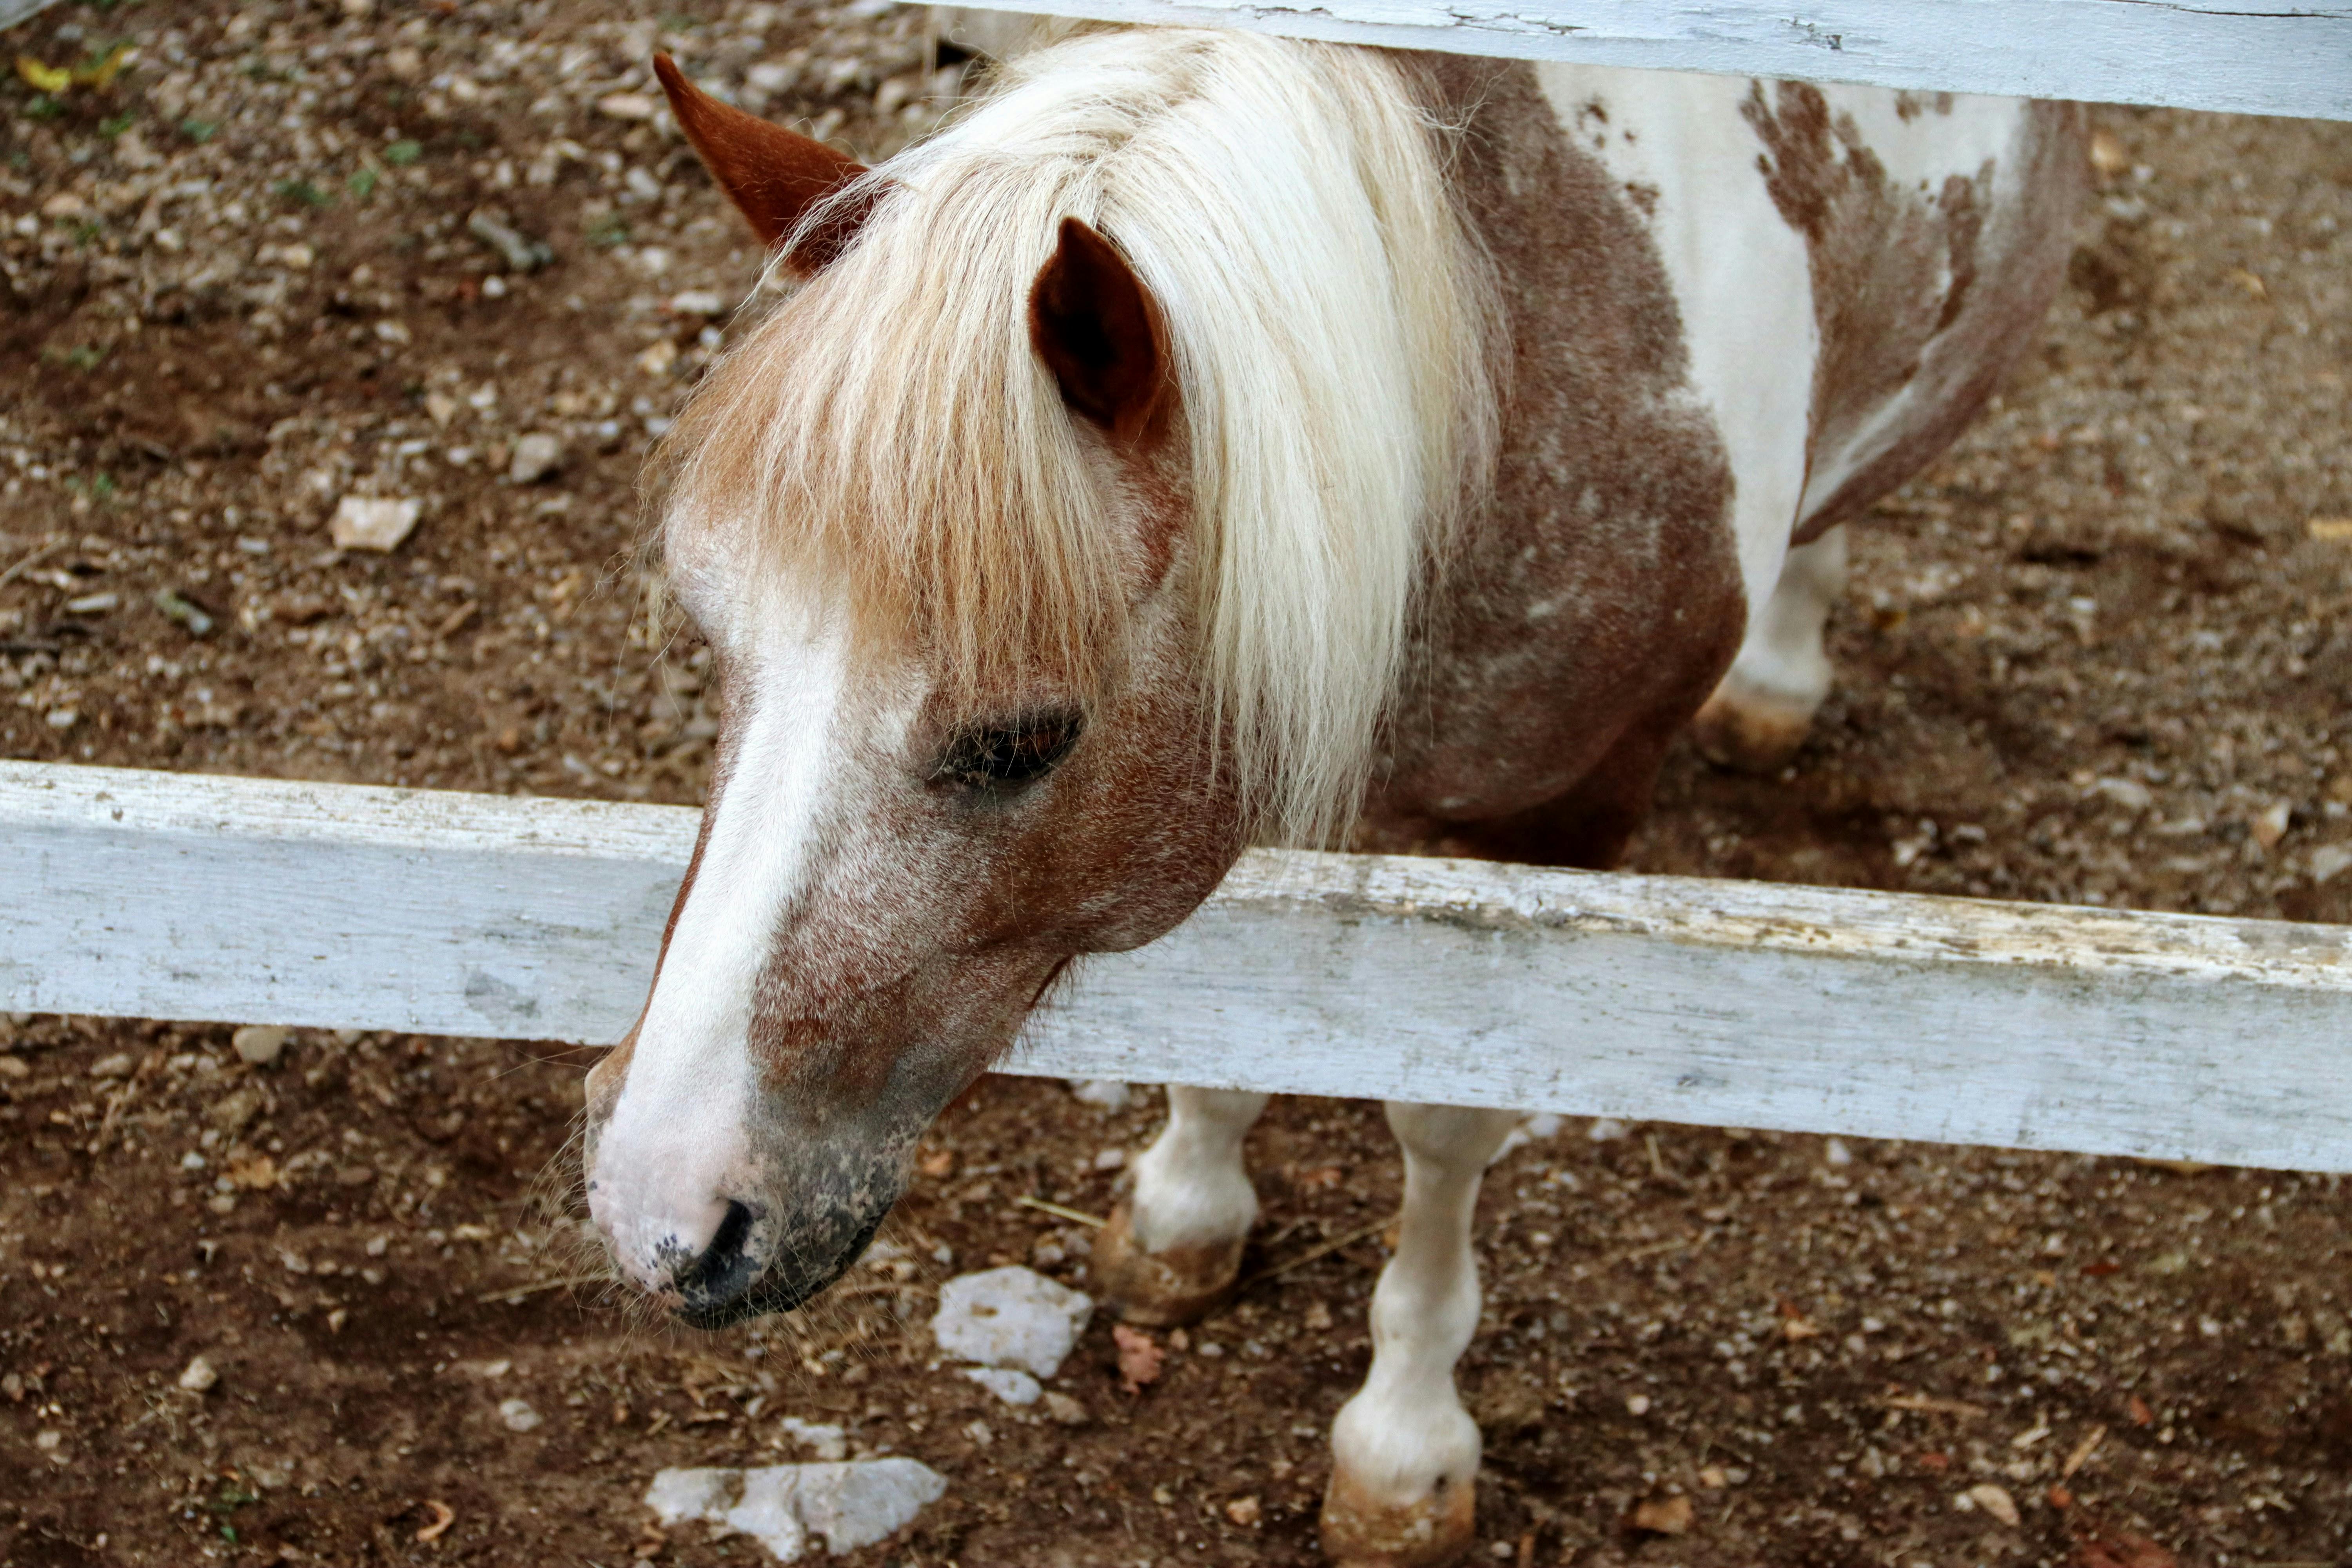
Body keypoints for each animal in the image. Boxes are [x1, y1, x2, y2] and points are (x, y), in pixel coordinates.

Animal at [583, 31, 2079, 1561]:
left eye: (1022, 739)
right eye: (713, 633)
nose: (661, 1205)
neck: (1507, 376)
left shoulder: (1554, 827)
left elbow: (1443, 1125)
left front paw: (1403, 1447)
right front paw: (1185, 1210)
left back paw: (1779, 670)